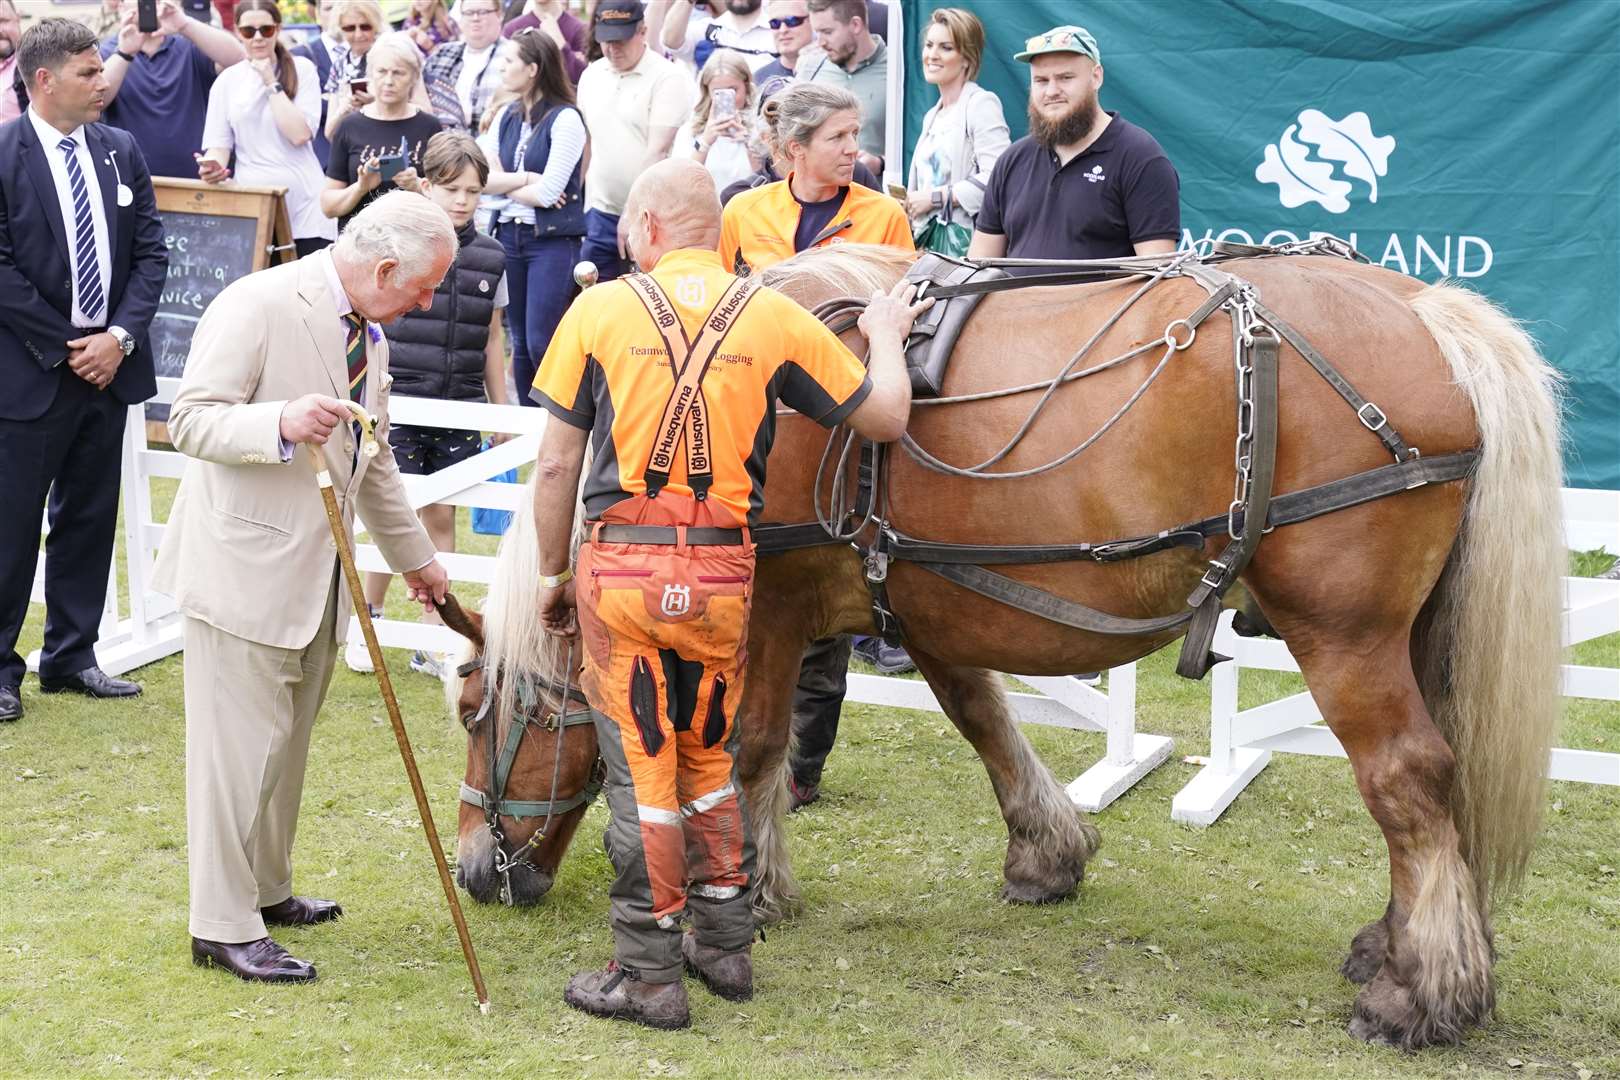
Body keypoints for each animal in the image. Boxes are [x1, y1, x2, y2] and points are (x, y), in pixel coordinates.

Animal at [437, 241, 1561, 1049]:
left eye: (477, 707)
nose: (478, 873)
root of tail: (1429, 315)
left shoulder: (772, 610)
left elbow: (749, 752)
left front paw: (750, 888)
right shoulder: (928, 600)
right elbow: (983, 719)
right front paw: (1047, 851)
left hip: (1344, 637)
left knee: (1408, 780)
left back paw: (1424, 992)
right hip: (1413, 636)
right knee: (1440, 789)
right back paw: (1400, 945)